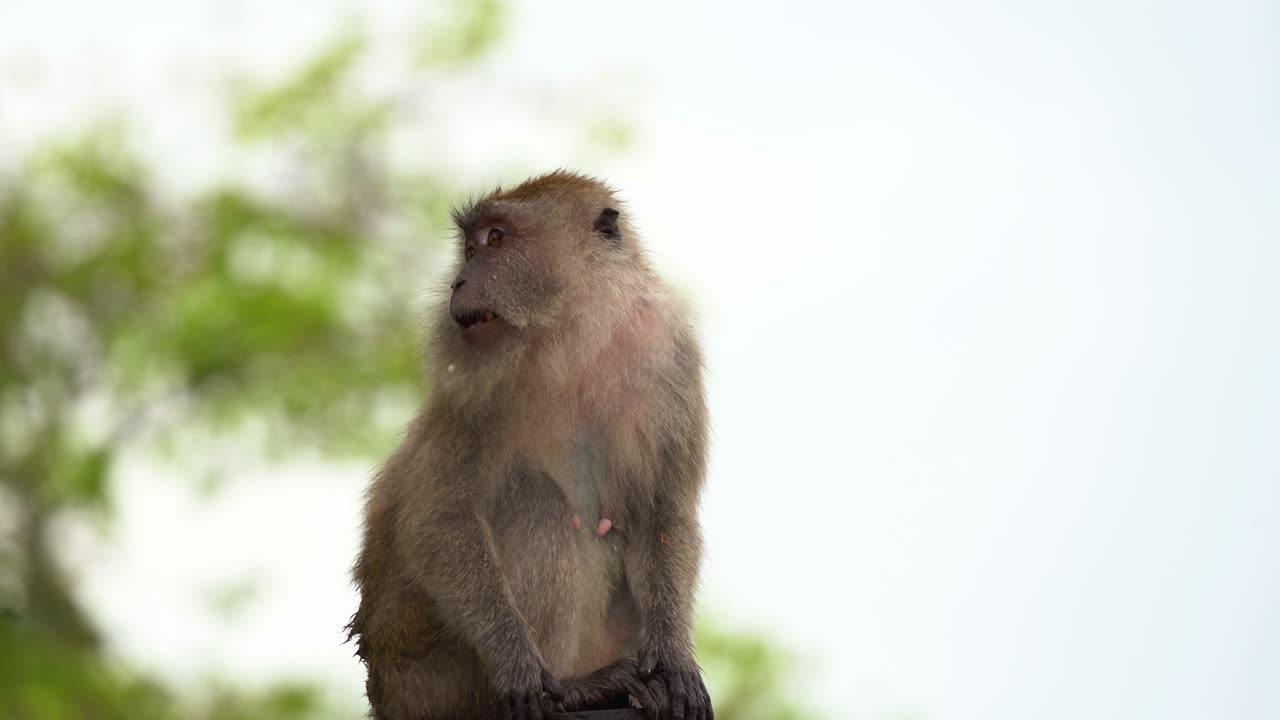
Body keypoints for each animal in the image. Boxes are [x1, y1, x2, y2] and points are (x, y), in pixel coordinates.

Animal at [347, 171, 713, 720]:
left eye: (495, 240)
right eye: (469, 248)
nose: (458, 282)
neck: (575, 337)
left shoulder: (670, 354)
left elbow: (662, 512)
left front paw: (672, 659)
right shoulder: (474, 386)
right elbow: (440, 517)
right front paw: (516, 661)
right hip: (432, 675)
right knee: (534, 500)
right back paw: (579, 687)